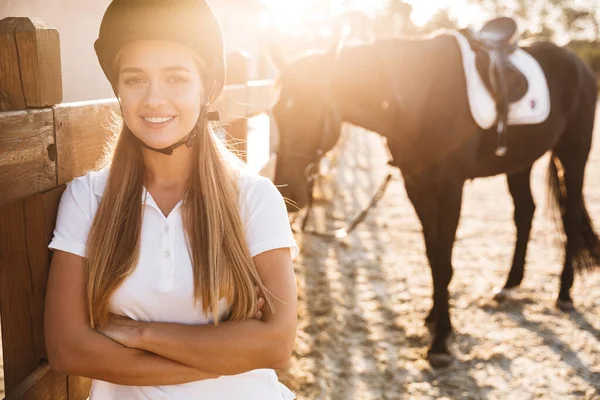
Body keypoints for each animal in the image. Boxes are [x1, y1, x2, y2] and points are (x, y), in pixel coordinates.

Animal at [270, 32, 600, 368]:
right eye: (278, 113)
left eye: (312, 108)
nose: (287, 193)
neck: (420, 95)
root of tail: (579, 64)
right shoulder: (417, 186)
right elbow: (432, 256)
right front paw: (434, 317)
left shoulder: (450, 187)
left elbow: (444, 262)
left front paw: (441, 341)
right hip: (520, 163)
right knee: (525, 213)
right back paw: (509, 285)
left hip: (573, 154)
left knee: (570, 216)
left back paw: (564, 294)